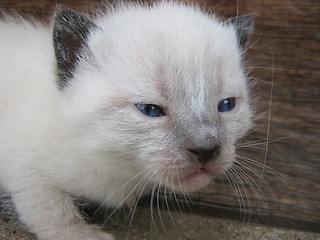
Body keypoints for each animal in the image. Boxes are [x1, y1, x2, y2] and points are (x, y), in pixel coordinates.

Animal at [0, 1, 255, 240]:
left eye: (226, 105)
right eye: (150, 110)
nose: (207, 150)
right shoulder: (24, 166)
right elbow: (50, 207)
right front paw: (80, 233)